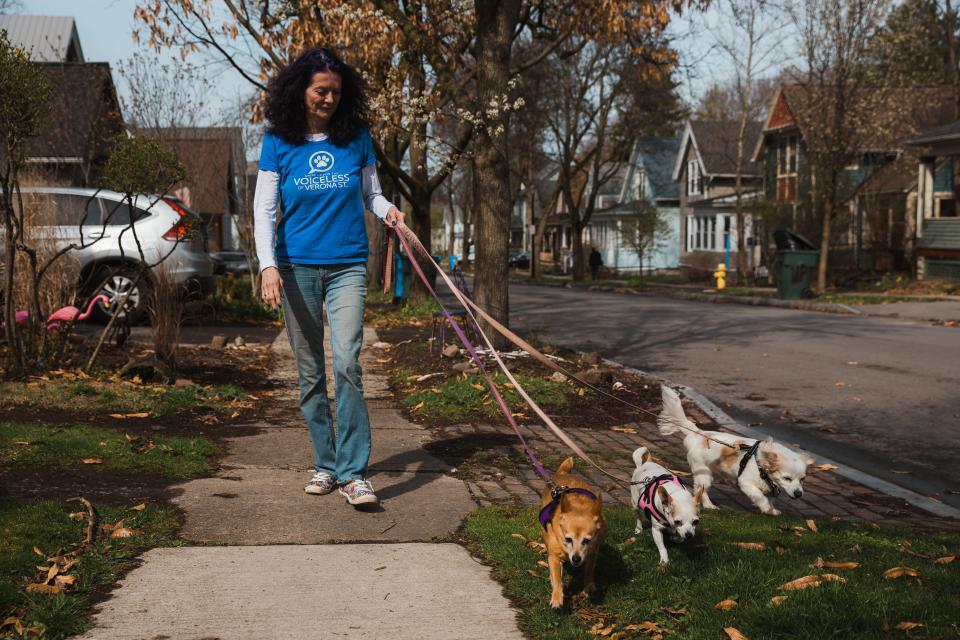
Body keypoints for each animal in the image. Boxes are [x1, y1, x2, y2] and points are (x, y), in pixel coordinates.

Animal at [540, 458, 608, 608]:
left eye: (587, 540)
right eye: (568, 539)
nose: (576, 559)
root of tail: (562, 473)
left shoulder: (592, 552)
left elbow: (589, 570)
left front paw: (588, 587)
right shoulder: (554, 556)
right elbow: (557, 578)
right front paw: (557, 597)